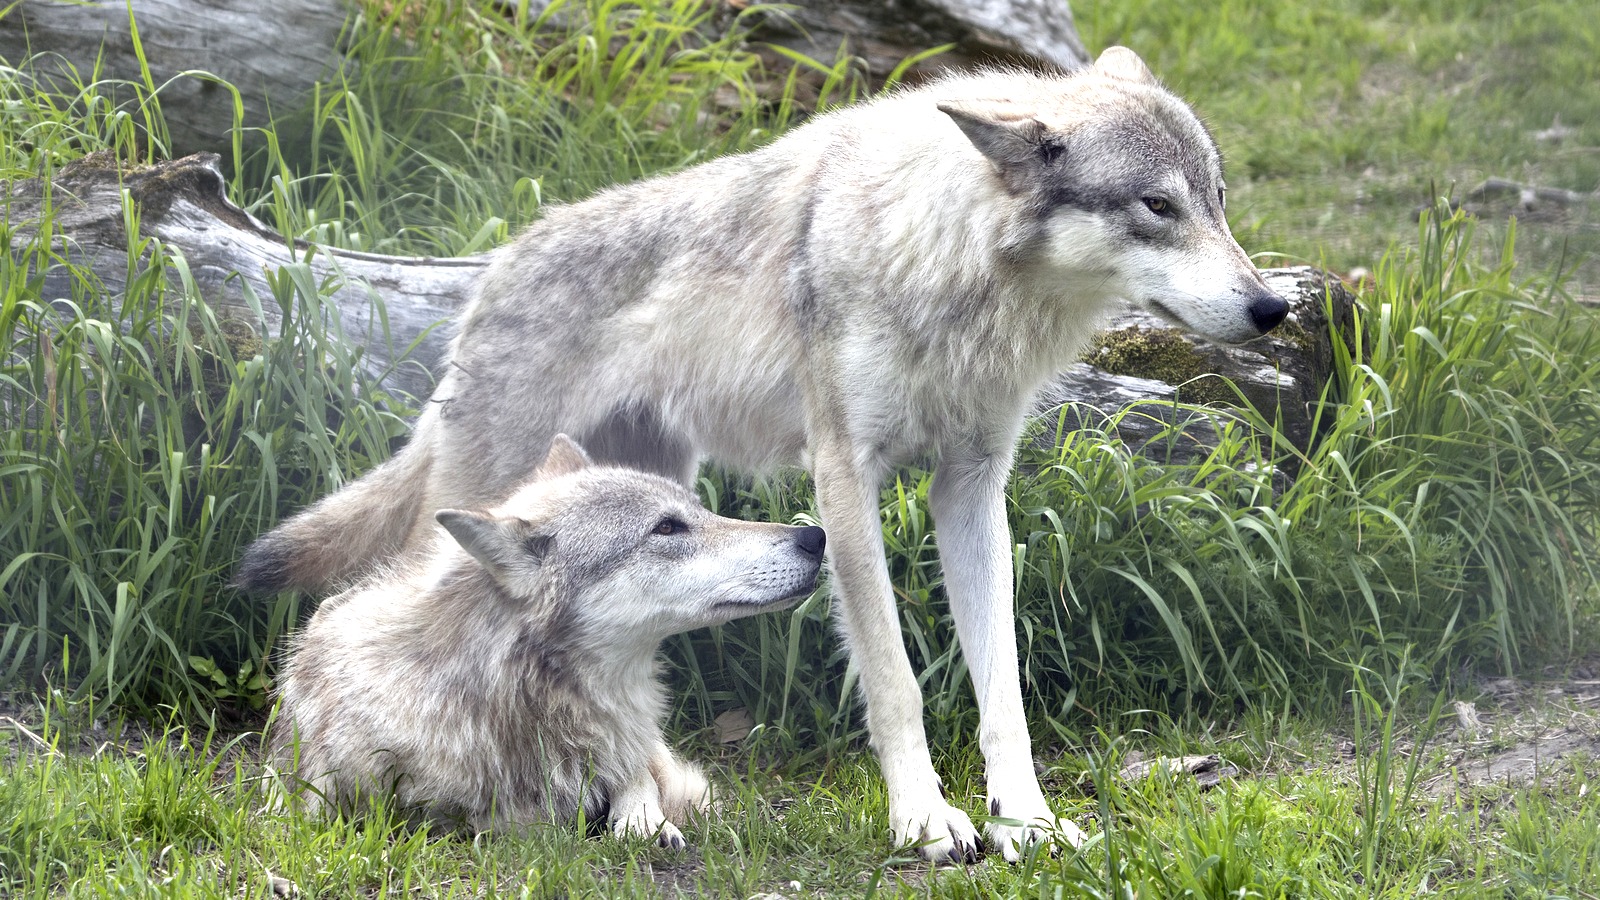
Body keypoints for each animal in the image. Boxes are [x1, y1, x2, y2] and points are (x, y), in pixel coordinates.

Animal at [270, 436, 826, 846]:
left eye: (701, 512)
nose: (815, 536)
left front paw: (645, 822)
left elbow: (638, 780)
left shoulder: (628, 746)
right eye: (667, 527)